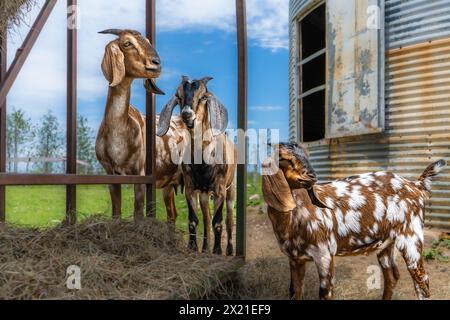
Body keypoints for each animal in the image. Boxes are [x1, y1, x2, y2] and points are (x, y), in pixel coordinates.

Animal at [96, 29, 187, 222]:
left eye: (148, 41)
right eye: (127, 43)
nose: (156, 63)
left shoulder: (140, 173)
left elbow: (138, 212)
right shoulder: (110, 174)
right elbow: (116, 212)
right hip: (170, 183)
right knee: (172, 214)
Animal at [157, 77, 237, 255]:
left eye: (203, 97)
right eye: (178, 96)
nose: (187, 114)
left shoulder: (220, 189)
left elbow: (218, 221)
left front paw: (217, 251)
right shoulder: (190, 188)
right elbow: (193, 220)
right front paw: (193, 247)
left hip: (231, 188)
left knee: (229, 218)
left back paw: (229, 249)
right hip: (204, 193)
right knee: (206, 218)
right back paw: (205, 247)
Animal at [262, 142, 444, 300]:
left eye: (308, 155)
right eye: (284, 159)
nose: (312, 175)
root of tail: (416, 185)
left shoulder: (324, 253)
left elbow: (325, 292)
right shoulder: (294, 259)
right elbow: (295, 291)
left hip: (411, 236)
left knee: (421, 280)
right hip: (386, 242)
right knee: (392, 276)